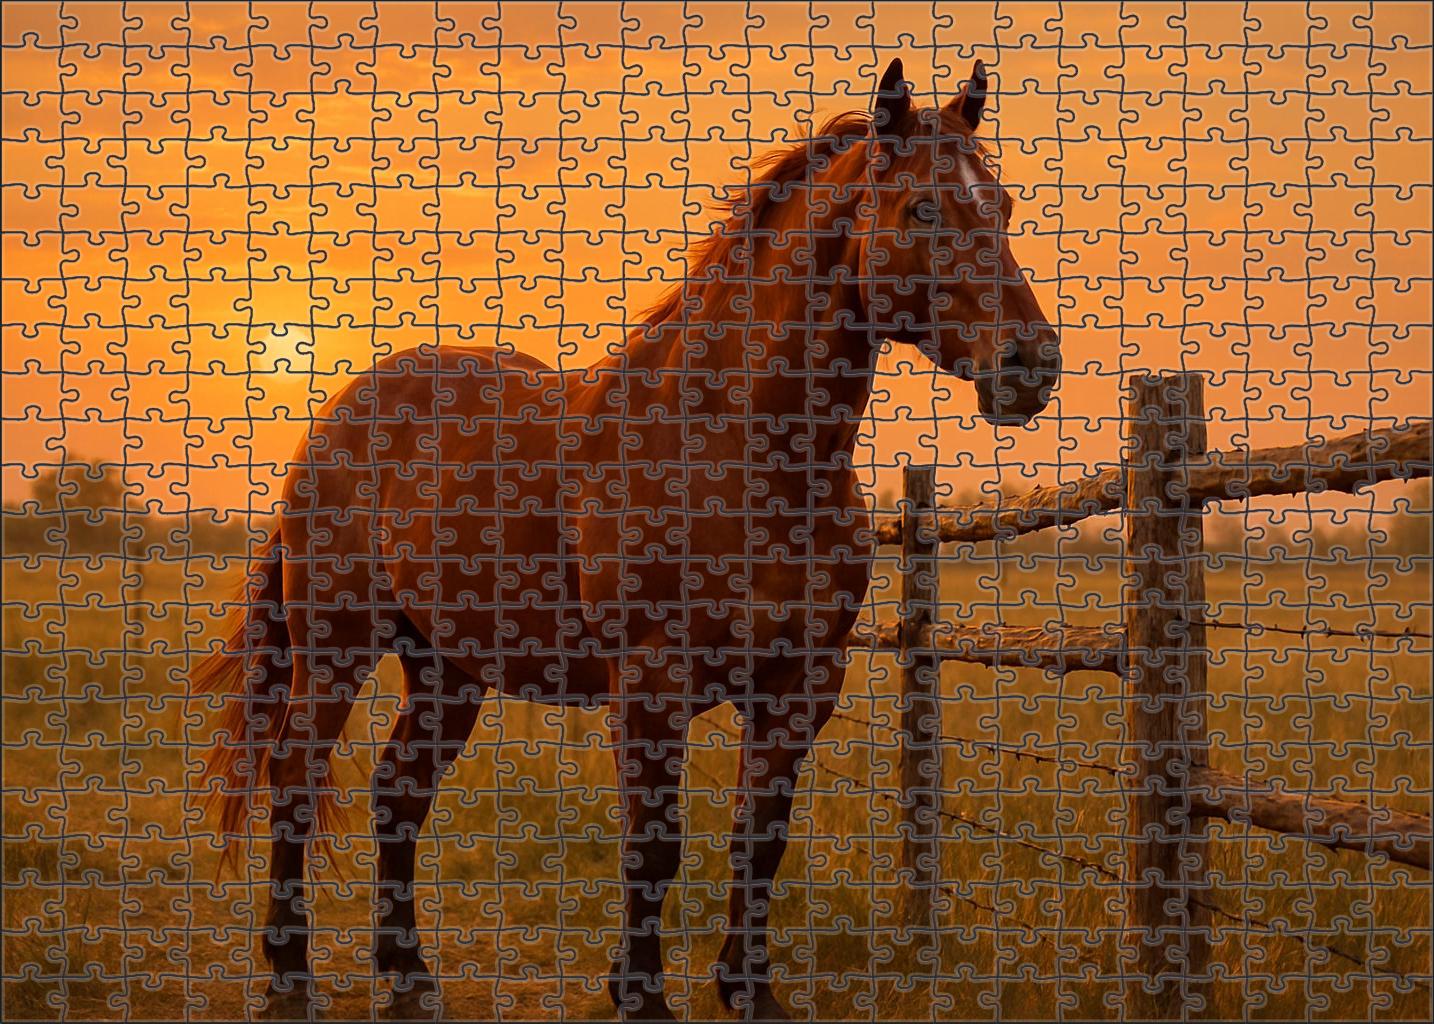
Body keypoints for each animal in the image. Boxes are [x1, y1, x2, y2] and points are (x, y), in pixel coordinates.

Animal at [196, 57, 1061, 1021]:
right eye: (921, 210)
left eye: (1005, 207)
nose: (1031, 365)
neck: (737, 444)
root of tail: (338, 417)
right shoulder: (651, 685)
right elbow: (655, 845)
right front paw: (641, 996)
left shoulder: (800, 688)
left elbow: (757, 842)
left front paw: (749, 992)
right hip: (338, 650)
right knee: (294, 778)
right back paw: (290, 976)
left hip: (447, 669)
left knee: (397, 795)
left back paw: (410, 976)